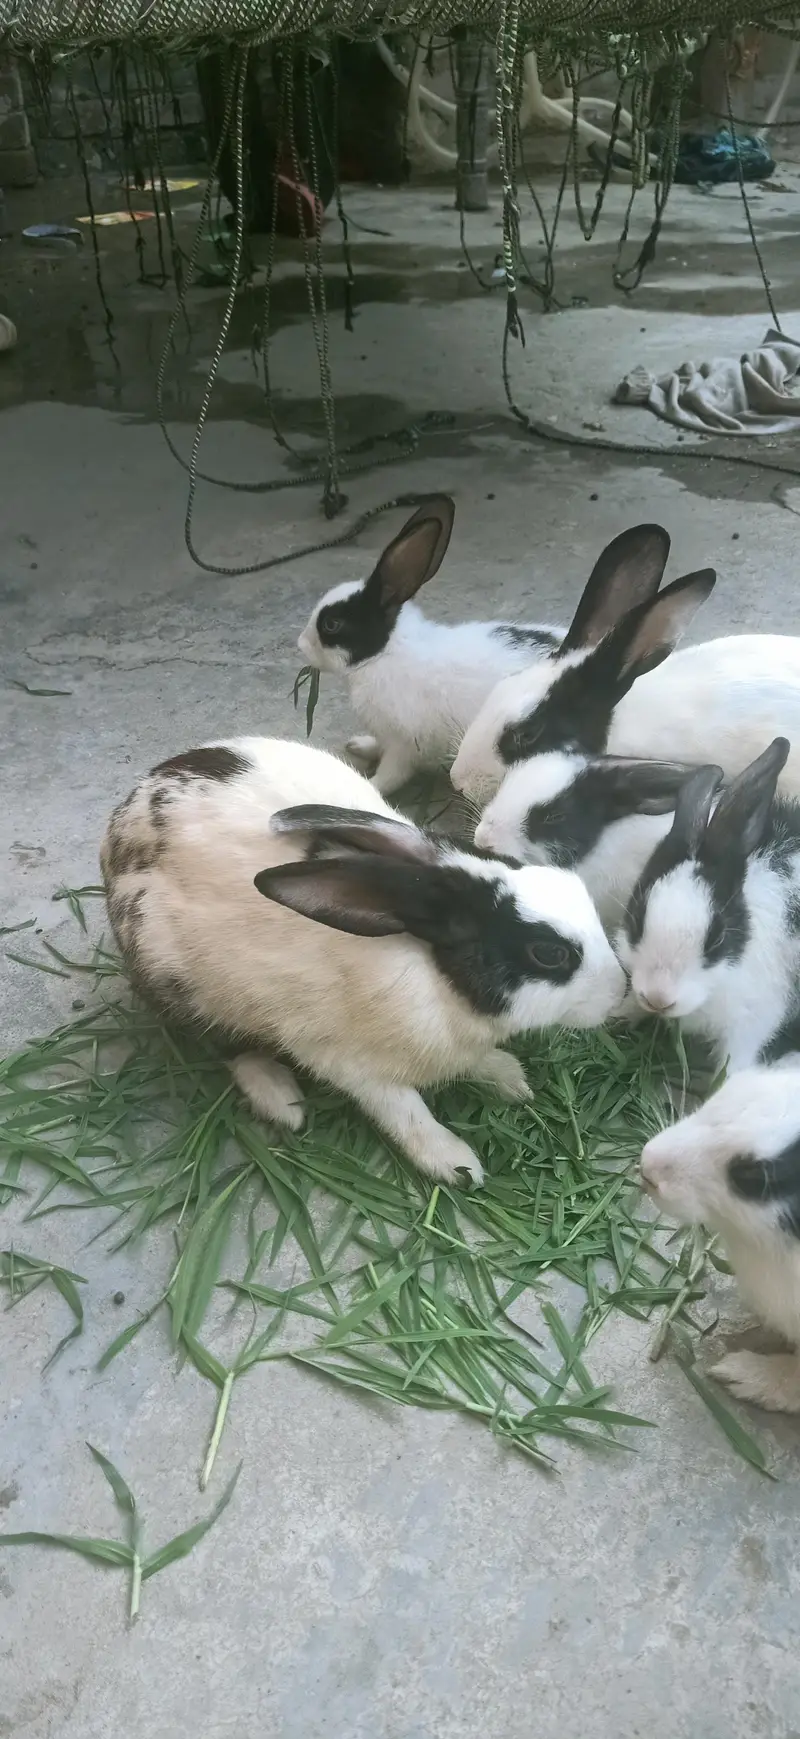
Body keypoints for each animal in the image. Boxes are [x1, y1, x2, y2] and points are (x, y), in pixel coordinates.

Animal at [101, 736, 626, 1188]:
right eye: (549, 953)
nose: (620, 991)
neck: (440, 980)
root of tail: (122, 820)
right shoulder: (347, 1062)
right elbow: (405, 1111)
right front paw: (455, 1164)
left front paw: (508, 1078)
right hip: (177, 978)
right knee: (228, 1046)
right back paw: (281, 1097)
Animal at [297, 494, 564, 796]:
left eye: (332, 624)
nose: (300, 644)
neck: (383, 654)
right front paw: (358, 745)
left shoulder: (403, 744)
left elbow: (391, 775)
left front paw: (367, 785)